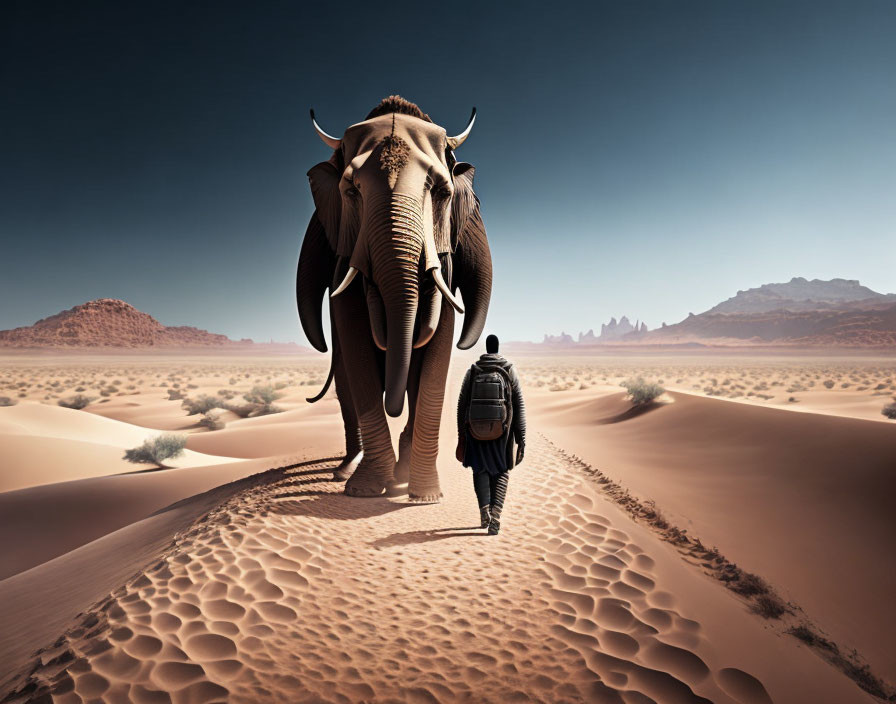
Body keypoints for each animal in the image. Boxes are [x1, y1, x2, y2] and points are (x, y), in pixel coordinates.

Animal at [298, 96, 494, 504]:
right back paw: (347, 470)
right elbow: (356, 347)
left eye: (442, 192)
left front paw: (423, 494)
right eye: (351, 190)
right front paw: (365, 491)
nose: (394, 401)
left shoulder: (446, 264)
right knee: (344, 381)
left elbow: (436, 355)